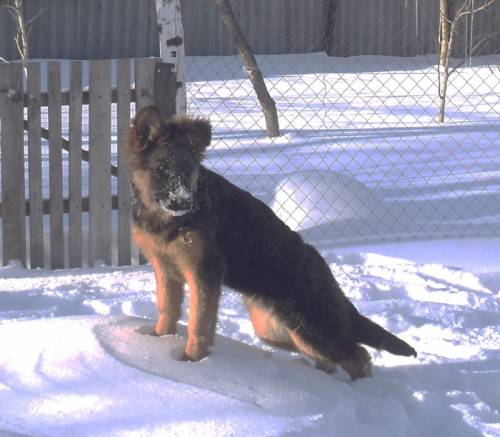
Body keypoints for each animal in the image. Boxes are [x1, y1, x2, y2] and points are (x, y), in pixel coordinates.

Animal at [127, 104, 416, 378]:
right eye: (160, 170)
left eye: (189, 171)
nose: (184, 203)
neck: (164, 220)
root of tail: (331, 282)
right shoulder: (166, 270)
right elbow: (167, 309)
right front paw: (157, 341)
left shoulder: (203, 273)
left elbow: (200, 323)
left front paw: (191, 362)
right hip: (275, 330)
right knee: (334, 360)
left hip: (310, 329)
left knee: (358, 356)